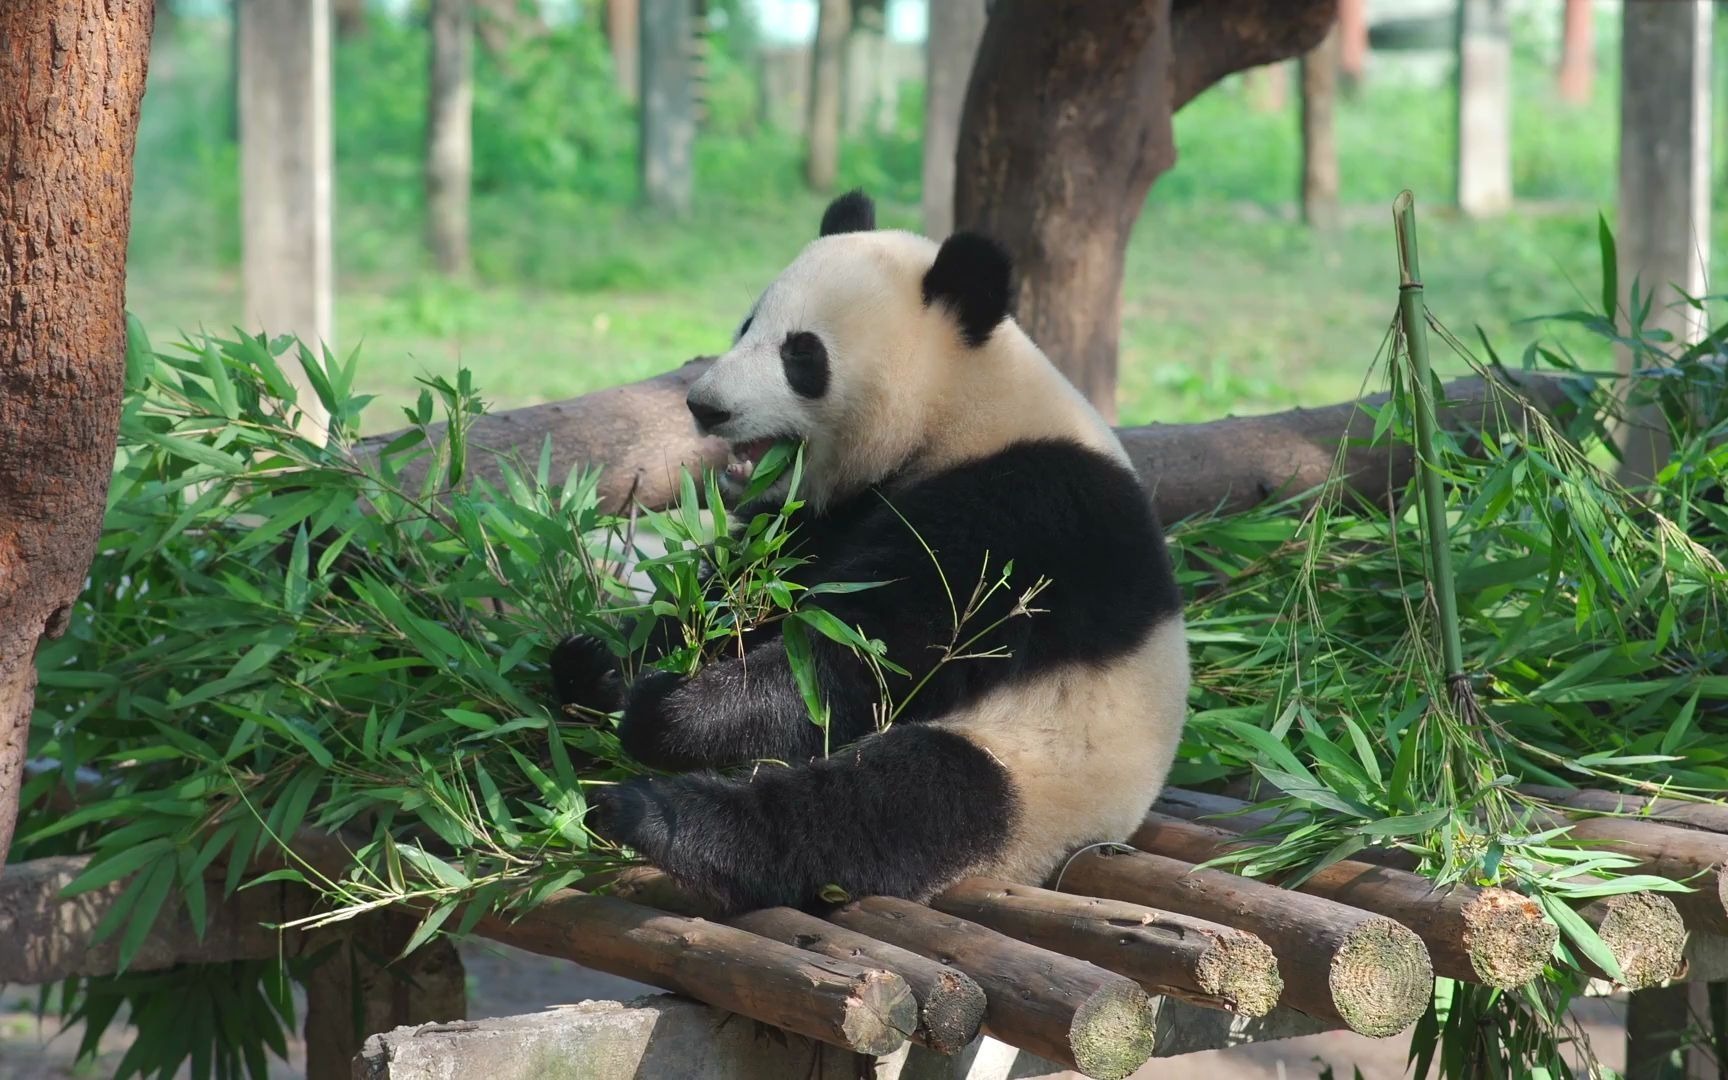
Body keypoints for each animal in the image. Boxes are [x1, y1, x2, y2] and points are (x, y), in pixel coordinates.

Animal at [552, 189, 1188, 912]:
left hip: (1042, 770)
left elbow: (872, 650)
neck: (961, 408)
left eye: (802, 355)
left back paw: (658, 818)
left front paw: (670, 711)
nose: (705, 407)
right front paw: (606, 660)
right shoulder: (824, 514)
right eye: (746, 326)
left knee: (889, 804)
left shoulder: (1027, 511)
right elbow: (746, 592)